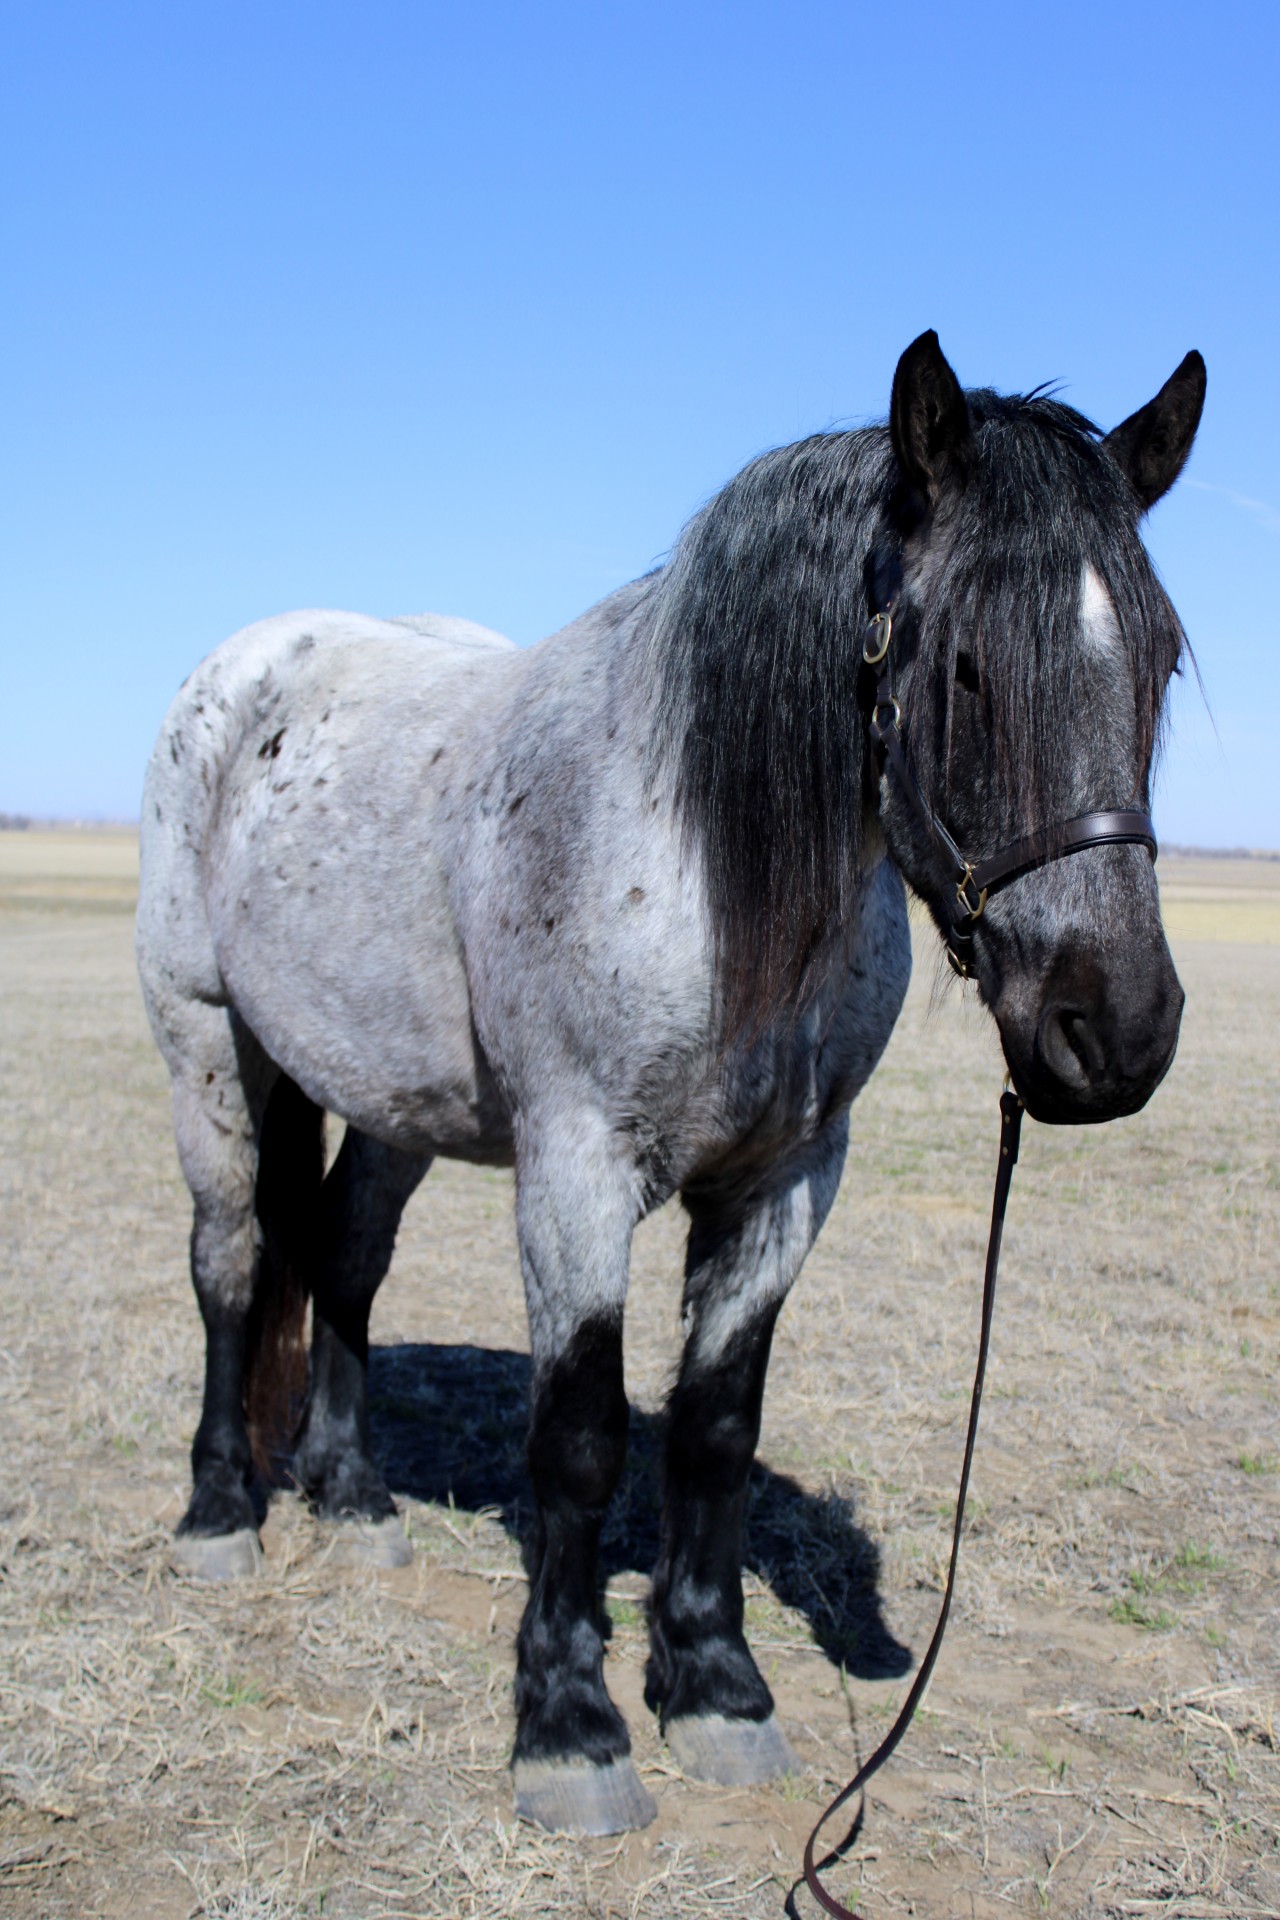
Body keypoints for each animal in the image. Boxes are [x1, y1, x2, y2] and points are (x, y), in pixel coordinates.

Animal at [142, 330, 1212, 1827]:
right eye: (963, 668)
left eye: (1160, 662)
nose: (1113, 1031)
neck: (703, 849)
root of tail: (249, 667)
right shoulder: (577, 1170)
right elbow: (581, 1436)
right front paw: (569, 1724)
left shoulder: (785, 1180)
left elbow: (713, 1428)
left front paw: (714, 1689)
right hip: (208, 1048)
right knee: (233, 1263)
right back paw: (220, 1515)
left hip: (390, 1099)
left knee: (344, 1263)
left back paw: (351, 1502)